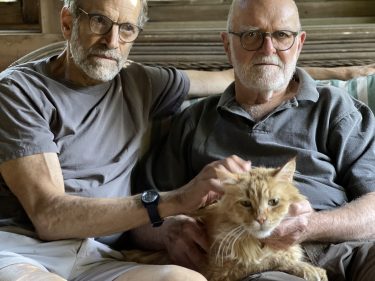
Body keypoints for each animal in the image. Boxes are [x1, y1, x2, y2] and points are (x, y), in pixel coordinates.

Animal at [125, 159, 328, 278]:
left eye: (273, 202)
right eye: (246, 203)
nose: (261, 219)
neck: (259, 244)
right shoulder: (222, 272)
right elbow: (270, 262)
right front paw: (309, 269)